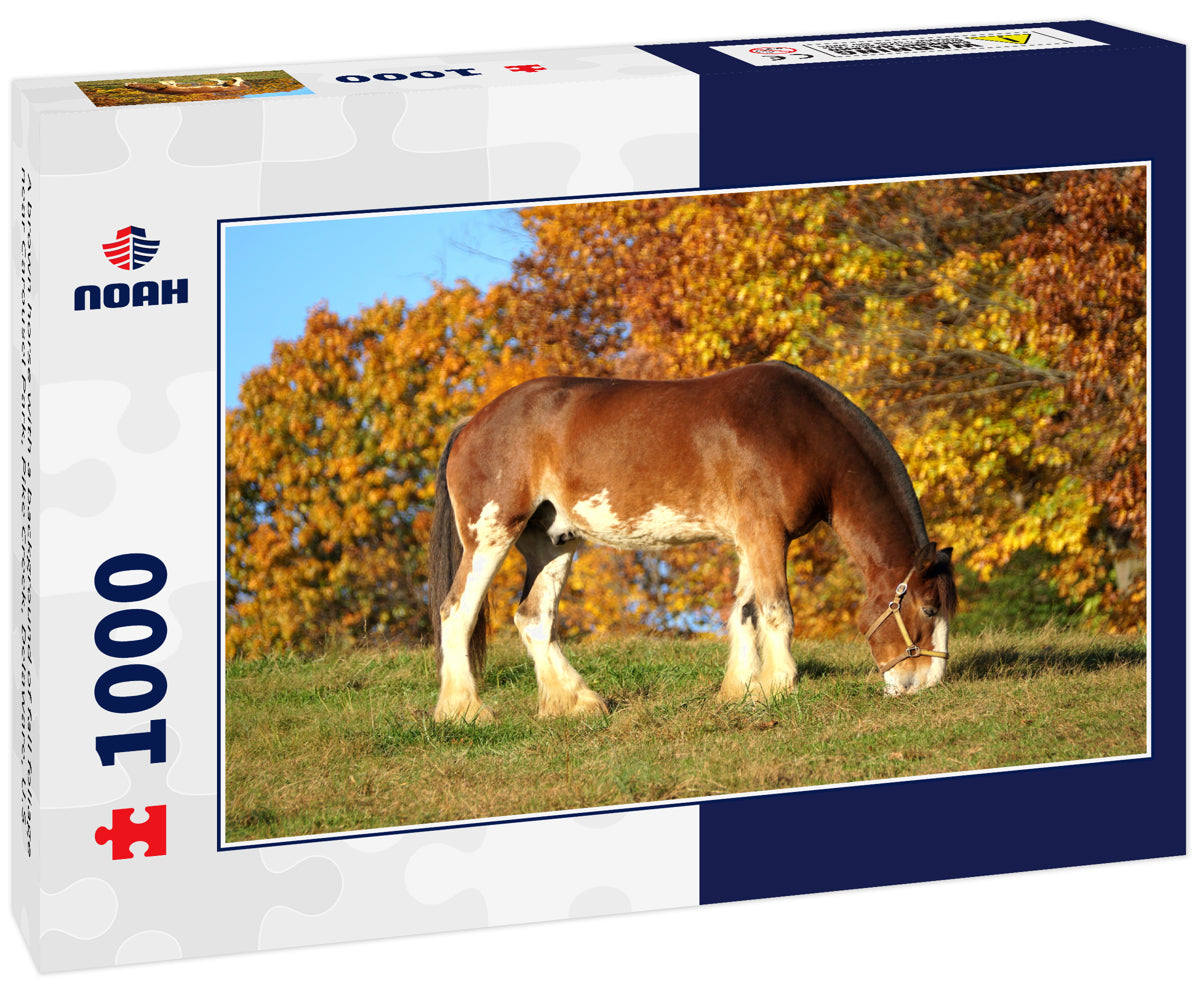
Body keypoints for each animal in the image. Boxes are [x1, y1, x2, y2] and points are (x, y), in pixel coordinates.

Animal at [427, 361, 956, 722]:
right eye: (929, 609)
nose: (923, 685)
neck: (799, 431)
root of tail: (471, 424)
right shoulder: (765, 533)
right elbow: (776, 612)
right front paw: (781, 687)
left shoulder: (751, 538)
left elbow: (744, 612)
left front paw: (743, 692)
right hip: (492, 534)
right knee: (456, 612)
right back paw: (464, 711)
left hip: (554, 542)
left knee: (533, 619)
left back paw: (576, 702)